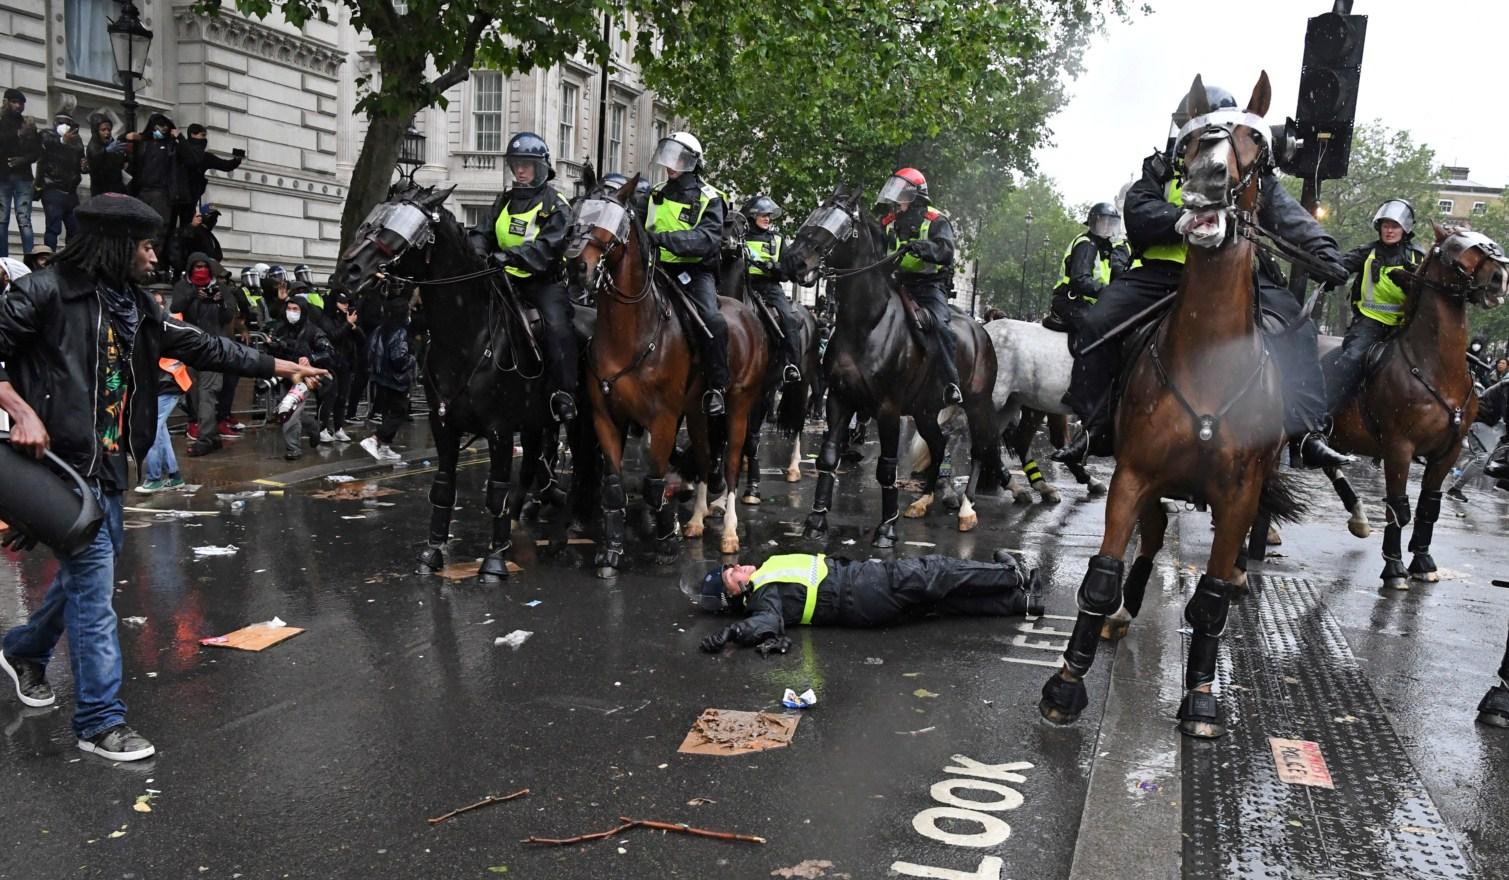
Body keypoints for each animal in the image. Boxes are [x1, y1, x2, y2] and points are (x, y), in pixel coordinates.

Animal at [333, 184, 597, 582]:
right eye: (375, 218)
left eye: (400, 229)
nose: (348, 271)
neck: (466, 336)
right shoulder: (444, 424)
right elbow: (444, 487)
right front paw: (432, 552)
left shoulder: (500, 429)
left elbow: (495, 491)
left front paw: (494, 560)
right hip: (537, 423)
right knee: (535, 465)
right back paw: (526, 516)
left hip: (581, 421)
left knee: (580, 469)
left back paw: (565, 528)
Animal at [570, 178, 772, 579]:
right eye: (578, 212)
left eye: (613, 221)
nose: (577, 267)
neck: (630, 334)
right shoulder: (606, 418)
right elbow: (614, 486)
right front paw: (612, 552)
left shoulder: (662, 419)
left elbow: (653, 482)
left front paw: (667, 541)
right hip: (697, 411)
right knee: (706, 455)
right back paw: (695, 519)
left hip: (739, 405)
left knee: (730, 461)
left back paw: (728, 531)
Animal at [778, 184, 1001, 543]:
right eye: (815, 214)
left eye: (839, 225)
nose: (794, 261)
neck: (867, 324)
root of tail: (981, 330)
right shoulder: (840, 399)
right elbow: (828, 456)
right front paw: (816, 519)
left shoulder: (888, 408)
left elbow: (886, 466)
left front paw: (887, 527)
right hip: (925, 410)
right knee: (939, 443)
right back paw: (923, 501)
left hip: (977, 402)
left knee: (979, 448)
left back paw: (966, 509)